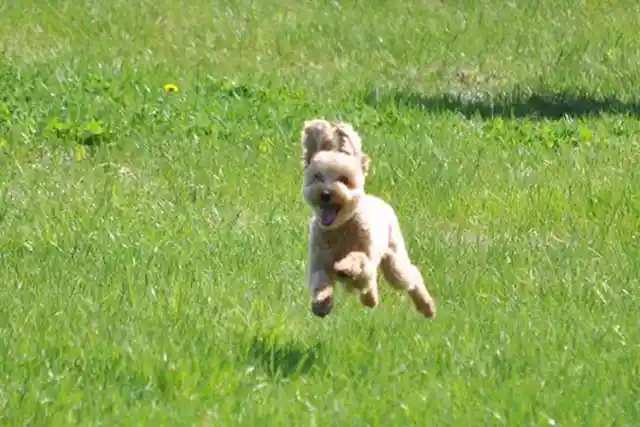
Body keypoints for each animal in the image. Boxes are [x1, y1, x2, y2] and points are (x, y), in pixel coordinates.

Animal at [302, 118, 438, 320]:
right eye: (317, 177)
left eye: (344, 179)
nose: (325, 194)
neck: (341, 228)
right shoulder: (319, 263)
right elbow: (320, 281)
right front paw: (321, 304)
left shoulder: (366, 257)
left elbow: (358, 259)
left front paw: (345, 267)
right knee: (370, 285)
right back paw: (371, 299)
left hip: (394, 260)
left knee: (410, 276)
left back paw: (427, 307)